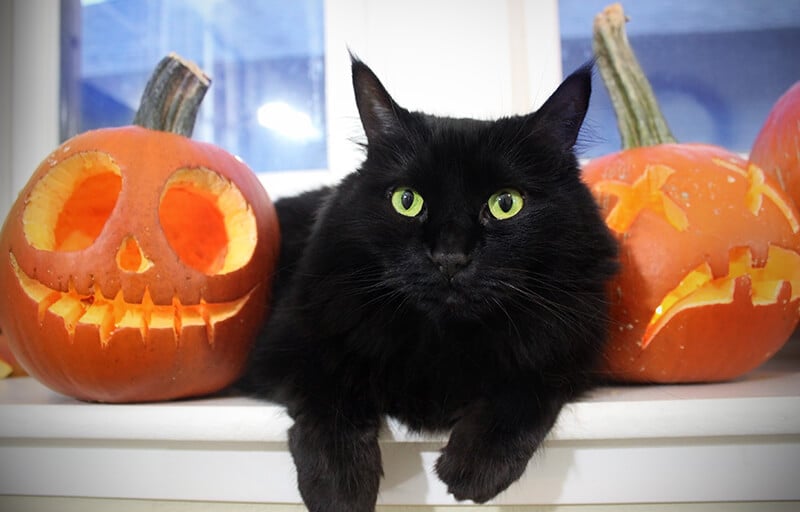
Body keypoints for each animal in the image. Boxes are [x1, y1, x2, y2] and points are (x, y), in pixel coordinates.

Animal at [242, 57, 620, 512]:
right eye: (407, 201)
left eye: (505, 203)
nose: (449, 257)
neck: (443, 340)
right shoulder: (287, 345)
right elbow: (330, 389)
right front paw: (340, 487)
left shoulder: (569, 348)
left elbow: (527, 383)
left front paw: (475, 467)